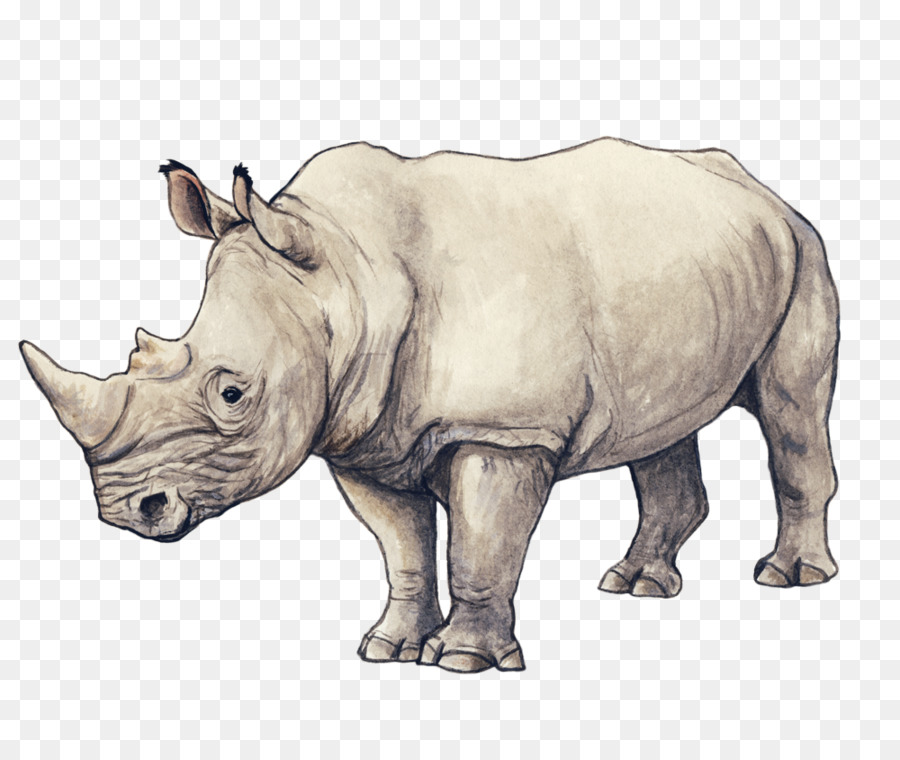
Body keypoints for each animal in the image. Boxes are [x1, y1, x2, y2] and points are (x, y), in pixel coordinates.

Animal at [21, 138, 839, 673]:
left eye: (232, 393)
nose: (126, 511)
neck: (348, 274)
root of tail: (760, 188)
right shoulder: (363, 436)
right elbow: (405, 548)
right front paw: (389, 649)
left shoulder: (504, 431)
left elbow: (480, 545)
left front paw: (463, 663)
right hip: (698, 270)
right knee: (662, 427)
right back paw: (635, 586)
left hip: (805, 249)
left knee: (791, 410)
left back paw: (789, 579)